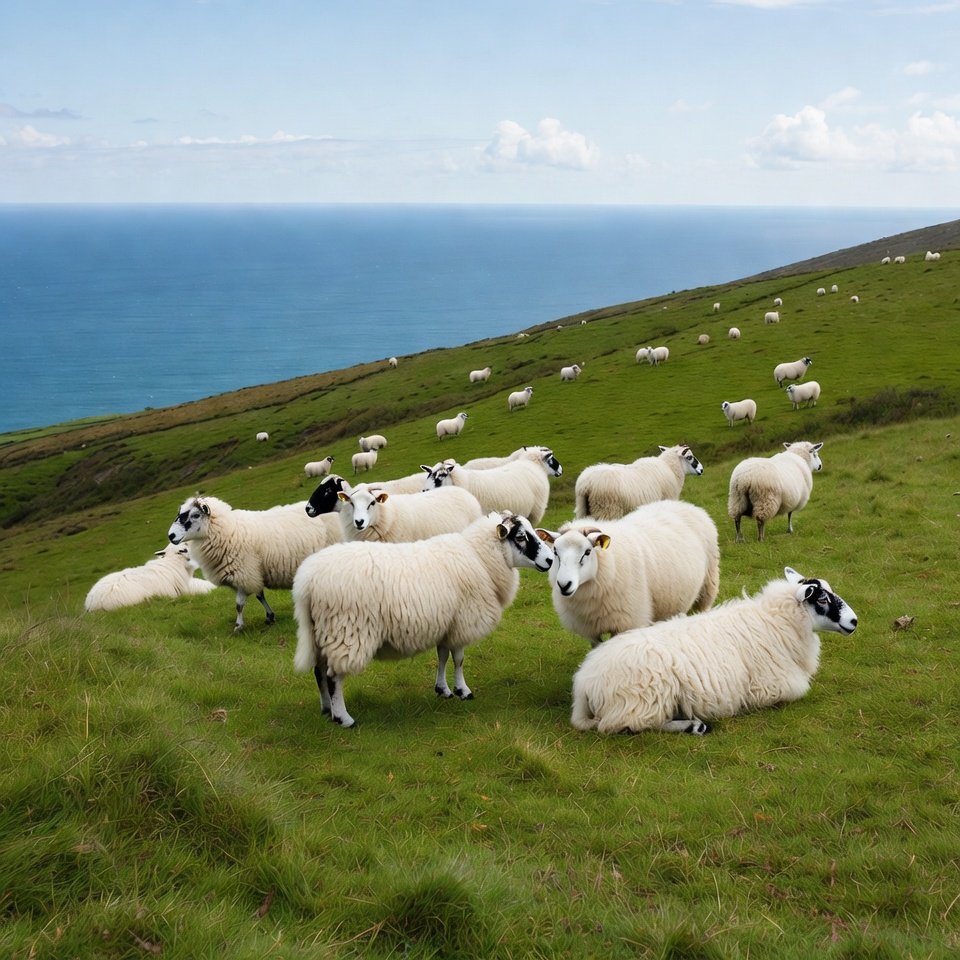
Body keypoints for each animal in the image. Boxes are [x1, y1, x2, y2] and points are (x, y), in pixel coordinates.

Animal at [167, 494, 342, 631]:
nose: (171, 536)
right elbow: (259, 595)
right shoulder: (253, 572)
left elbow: (239, 605)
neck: (228, 530)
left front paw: (238, 626)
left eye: (195, 515)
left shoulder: (243, 573)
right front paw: (270, 616)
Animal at [292, 510, 555, 727]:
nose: (550, 561)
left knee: (319, 671)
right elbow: (459, 659)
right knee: (333, 677)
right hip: (347, 631)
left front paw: (443, 689)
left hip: (323, 632)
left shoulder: (447, 624)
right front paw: (463, 690)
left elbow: (443, 656)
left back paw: (327, 709)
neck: (481, 559)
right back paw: (343, 718)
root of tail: (306, 581)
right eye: (520, 537)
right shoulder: (462, 622)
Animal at [535, 499, 720, 647]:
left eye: (587, 552)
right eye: (555, 552)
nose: (564, 585)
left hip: (707, 585)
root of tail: (685, 504)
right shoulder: (590, 629)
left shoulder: (626, 621)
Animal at [569, 566, 858, 735]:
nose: (854, 621)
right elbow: (796, 691)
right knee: (627, 725)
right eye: (823, 599)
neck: (775, 621)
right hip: (643, 698)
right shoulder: (774, 687)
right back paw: (694, 726)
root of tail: (583, 682)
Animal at [574, 444, 703, 521]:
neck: (670, 467)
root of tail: (587, 484)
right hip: (607, 510)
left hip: (583, 510)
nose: (702, 470)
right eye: (690, 457)